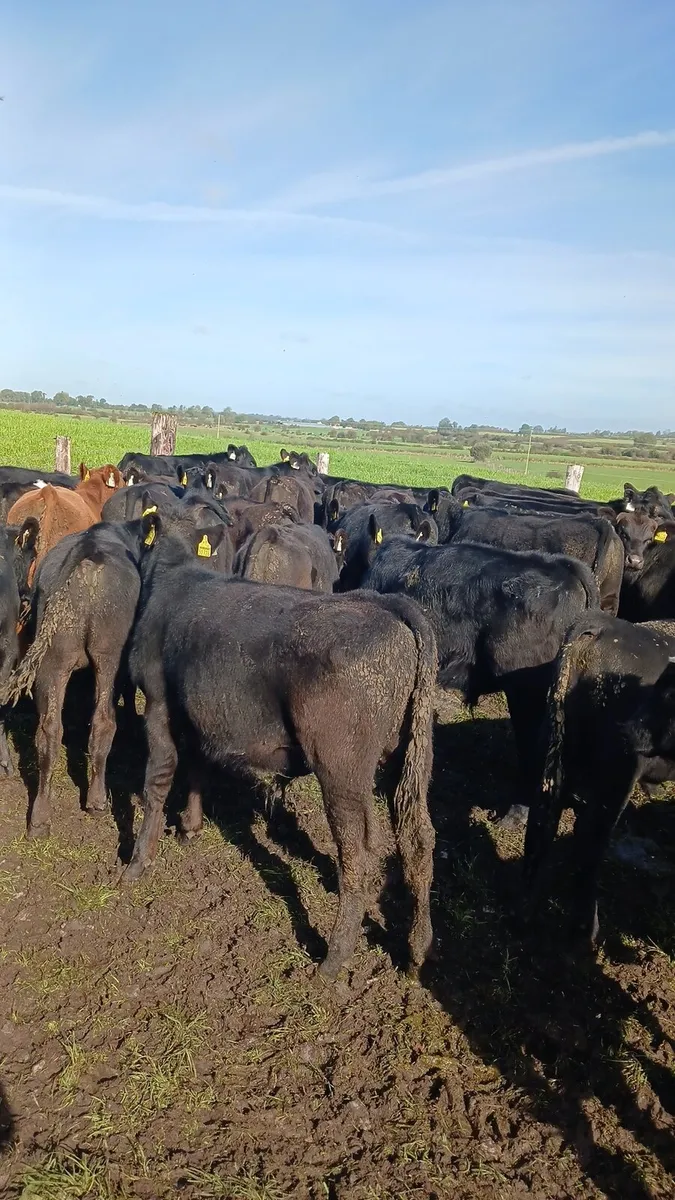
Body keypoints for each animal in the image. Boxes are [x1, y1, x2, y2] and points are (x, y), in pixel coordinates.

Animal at [122, 511, 438, 981]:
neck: (177, 577)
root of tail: (385, 604)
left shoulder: (159, 704)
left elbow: (156, 782)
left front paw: (138, 861)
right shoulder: (198, 711)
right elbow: (196, 766)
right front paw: (190, 827)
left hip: (342, 769)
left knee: (360, 855)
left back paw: (333, 958)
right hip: (410, 758)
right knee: (419, 841)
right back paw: (417, 952)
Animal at [523, 614, 675, 948]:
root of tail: (601, 623)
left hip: (549, 753)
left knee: (543, 823)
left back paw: (528, 909)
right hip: (616, 778)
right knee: (589, 842)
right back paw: (584, 931)